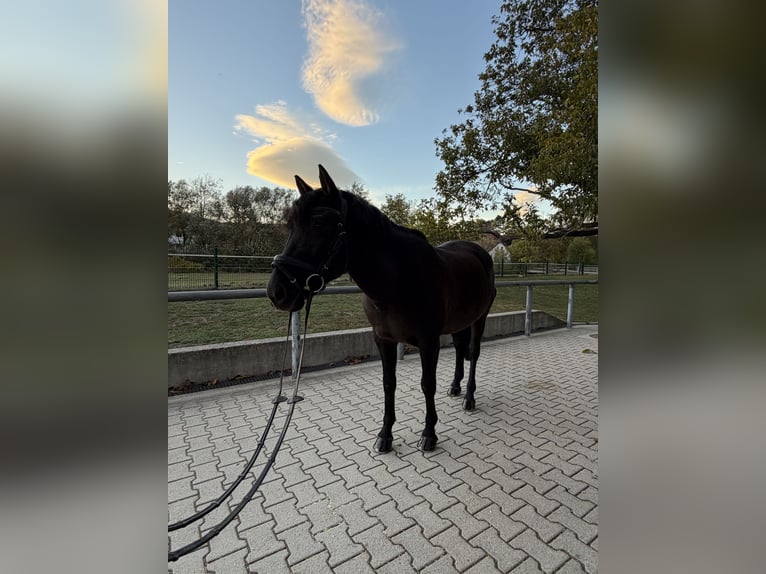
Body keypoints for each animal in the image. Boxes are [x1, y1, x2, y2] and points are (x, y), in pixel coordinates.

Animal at [267, 165, 496, 452]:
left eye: (318, 224)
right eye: (291, 225)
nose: (277, 292)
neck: (399, 281)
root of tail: (480, 252)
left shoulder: (428, 341)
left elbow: (427, 384)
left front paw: (429, 434)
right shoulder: (383, 339)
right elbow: (389, 384)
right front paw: (385, 435)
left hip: (480, 318)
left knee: (473, 353)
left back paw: (469, 397)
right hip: (459, 321)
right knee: (458, 348)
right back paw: (455, 387)